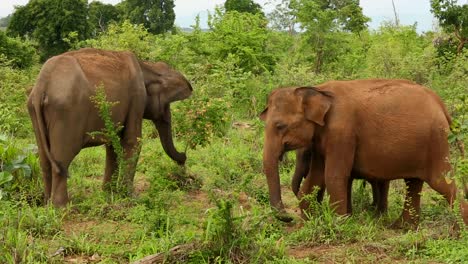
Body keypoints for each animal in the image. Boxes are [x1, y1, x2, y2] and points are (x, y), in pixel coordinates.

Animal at [27, 49, 193, 206]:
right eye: (167, 105)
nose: (183, 159)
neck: (147, 66)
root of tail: (41, 87)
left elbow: (113, 145)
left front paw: (108, 194)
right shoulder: (137, 97)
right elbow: (133, 142)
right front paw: (130, 198)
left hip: (34, 112)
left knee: (44, 159)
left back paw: (47, 204)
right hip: (66, 113)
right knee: (63, 158)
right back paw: (62, 207)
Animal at [260, 79, 468, 227]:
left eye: (280, 126)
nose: (287, 217)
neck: (317, 90)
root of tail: (440, 104)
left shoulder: (342, 132)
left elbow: (333, 176)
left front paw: (339, 225)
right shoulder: (321, 140)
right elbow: (316, 177)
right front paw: (307, 223)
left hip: (436, 141)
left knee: (442, 182)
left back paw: (460, 231)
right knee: (413, 183)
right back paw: (402, 227)